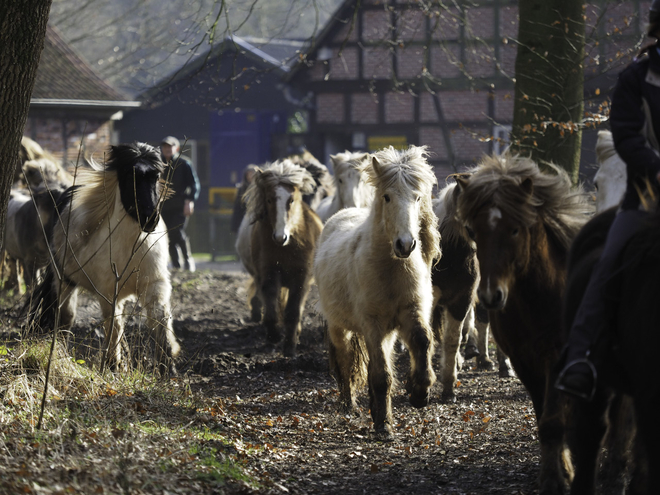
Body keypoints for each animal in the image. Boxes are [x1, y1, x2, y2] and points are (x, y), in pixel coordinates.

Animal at [29, 141, 179, 374]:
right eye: (129, 175)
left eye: (156, 176)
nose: (149, 219)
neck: (131, 248)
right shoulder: (108, 293)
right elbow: (113, 326)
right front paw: (113, 365)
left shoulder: (154, 285)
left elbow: (159, 319)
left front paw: (167, 367)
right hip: (63, 280)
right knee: (64, 317)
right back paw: (61, 352)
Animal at [236, 160, 324, 356]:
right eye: (269, 199)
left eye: (291, 200)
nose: (279, 237)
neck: (287, 247)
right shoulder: (268, 273)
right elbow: (271, 306)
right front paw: (273, 337)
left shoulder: (301, 277)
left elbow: (293, 312)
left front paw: (290, 346)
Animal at [314, 145, 440, 436]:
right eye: (387, 197)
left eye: (417, 197)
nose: (406, 244)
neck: (391, 270)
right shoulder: (372, 325)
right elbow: (381, 375)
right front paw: (384, 425)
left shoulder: (411, 313)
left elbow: (422, 341)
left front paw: (420, 393)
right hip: (341, 327)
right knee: (346, 361)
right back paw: (349, 404)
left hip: (386, 333)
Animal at [456, 153, 596, 494]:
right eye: (474, 231)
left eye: (515, 229)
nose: (490, 295)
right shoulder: (523, 360)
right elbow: (543, 414)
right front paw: (559, 471)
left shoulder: (557, 357)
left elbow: (554, 420)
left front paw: (555, 478)